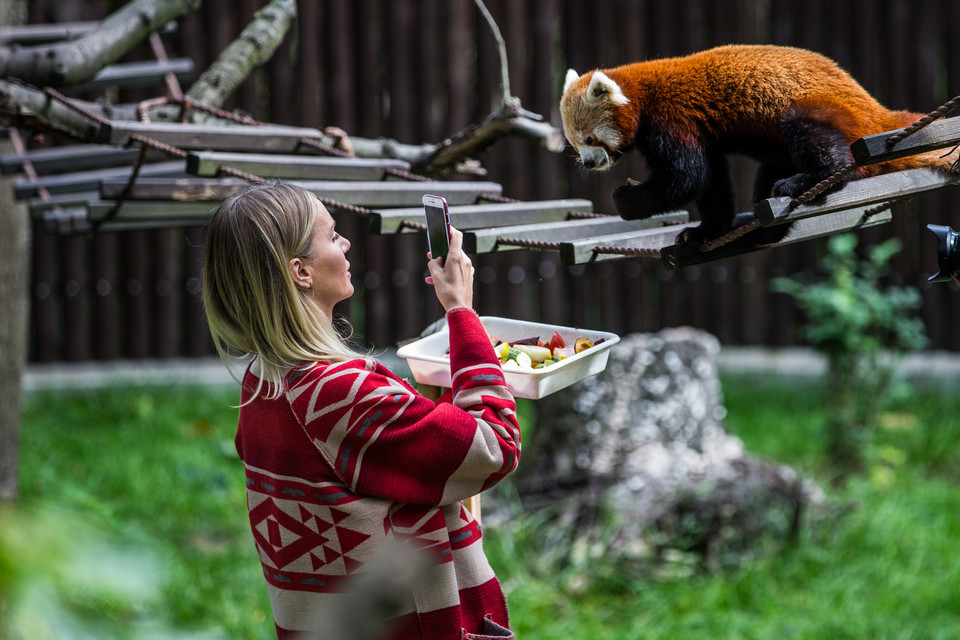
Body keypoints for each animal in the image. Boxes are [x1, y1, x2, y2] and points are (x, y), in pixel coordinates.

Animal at [560, 45, 956, 248]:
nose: (590, 163)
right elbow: (711, 181)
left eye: (591, 140)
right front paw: (708, 231)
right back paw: (760, 226)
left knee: (815, 139)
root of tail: (875, 111)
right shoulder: (700, 133)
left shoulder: (672, 119)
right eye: (576, 145)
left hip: (821, 113)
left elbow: (687, 178)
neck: (641, 95)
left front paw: (625, 200)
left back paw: (806, 182)